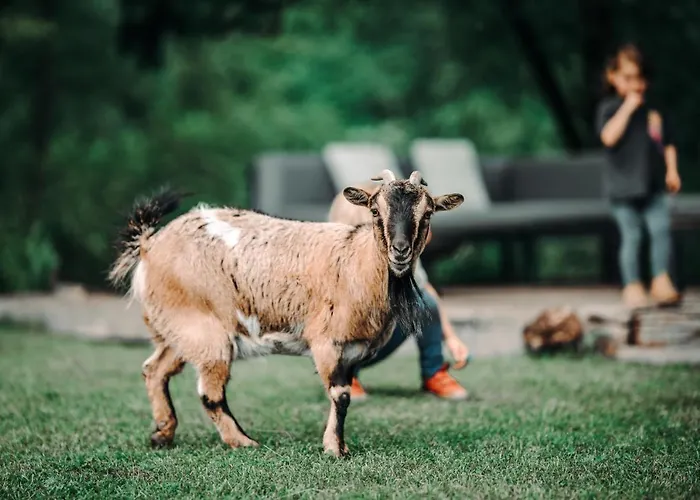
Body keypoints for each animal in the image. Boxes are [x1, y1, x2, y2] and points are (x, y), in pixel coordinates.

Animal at [108, 170, 463, 457]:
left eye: (428, 213)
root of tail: (149, 245)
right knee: (209, 393)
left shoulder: (353, 350)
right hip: (205, 330)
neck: (355, 260)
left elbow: (346, 396)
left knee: (155, 369)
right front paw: (335, 449)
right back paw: (243, 442)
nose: (400, 250)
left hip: (178, 329)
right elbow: (340, 395)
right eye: (375, 210)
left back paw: (163, 433)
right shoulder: (328, 342)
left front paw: (338, 445)